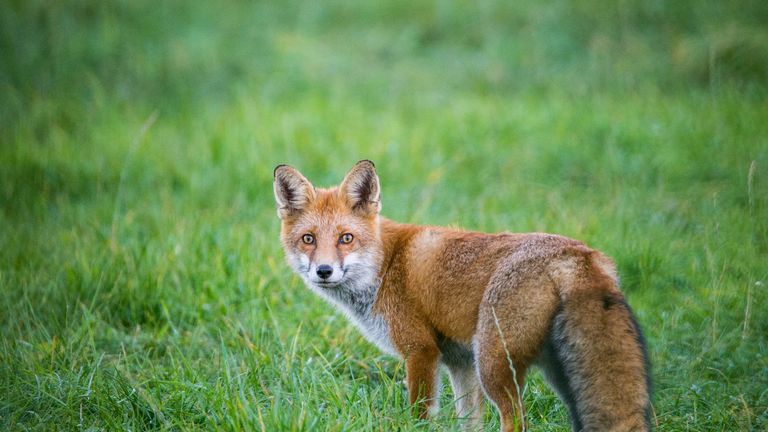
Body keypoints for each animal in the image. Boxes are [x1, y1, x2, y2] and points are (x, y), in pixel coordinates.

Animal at [273, 160, 651, 432]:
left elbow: (421, 415)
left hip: (494, 364)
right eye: (308, 239)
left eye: (346, 238)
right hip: (556, 373)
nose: (324, 271)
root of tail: (579, 253)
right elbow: (468, 421)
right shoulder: (459, 361)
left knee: (516, 421)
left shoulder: (421, 351)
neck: (385, 265)